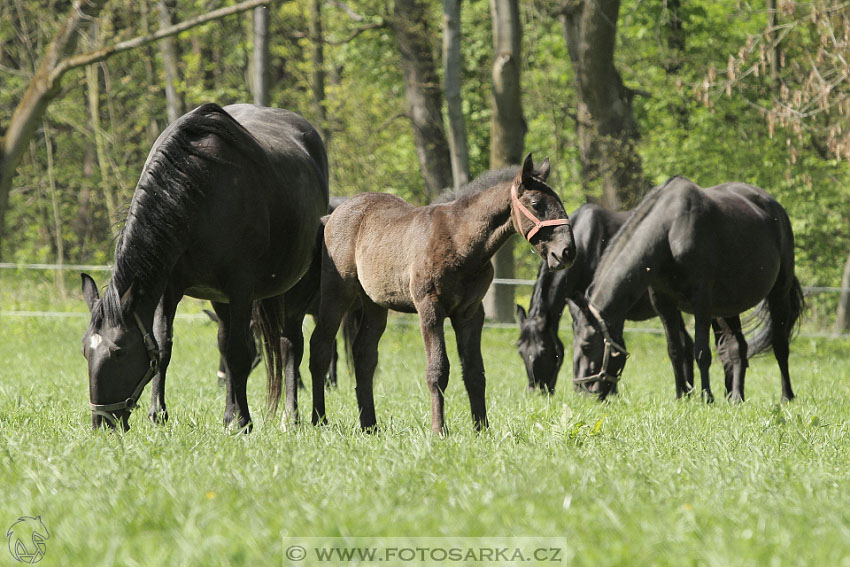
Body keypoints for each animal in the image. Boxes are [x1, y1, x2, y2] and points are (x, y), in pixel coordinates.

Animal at [81, 103, 328, 430]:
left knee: (290, 346)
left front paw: (244, 421)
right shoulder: (170, 289)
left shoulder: (241, 287)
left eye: (119, 351)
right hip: (221, 300)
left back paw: (291, 415)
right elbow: (164, 346)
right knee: (225, 341)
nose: (103, 421)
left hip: (294, 291)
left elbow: (240, 353)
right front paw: (158, 413)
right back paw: (229, 414)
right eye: (85, 350)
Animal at [308, 155, 572, 434]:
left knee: (364, 355)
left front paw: (481, 428)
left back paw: (369, 425)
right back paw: (319, 419)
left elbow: (475, 372)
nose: (567, 251)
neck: (460, 241)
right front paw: (438, 430)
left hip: (374, 304)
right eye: (536, 204)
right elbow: (438, 369)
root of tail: (333, 214)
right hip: (337, 293)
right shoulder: (430, 309)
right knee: (320, 347)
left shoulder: (470, 314)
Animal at [572, 178, 800, 404]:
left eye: (585, 346)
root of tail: (775, 207)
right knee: (738, 348)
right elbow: (675, 350)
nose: (583, 392)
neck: (670, 229)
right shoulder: (664, 303)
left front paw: (707, 396)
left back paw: (786, 396)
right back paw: (736, 397)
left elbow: (701, 352)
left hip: (778, 293)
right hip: (727, 307)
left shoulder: (702, 300)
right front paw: (681, 395)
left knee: (780, 345)